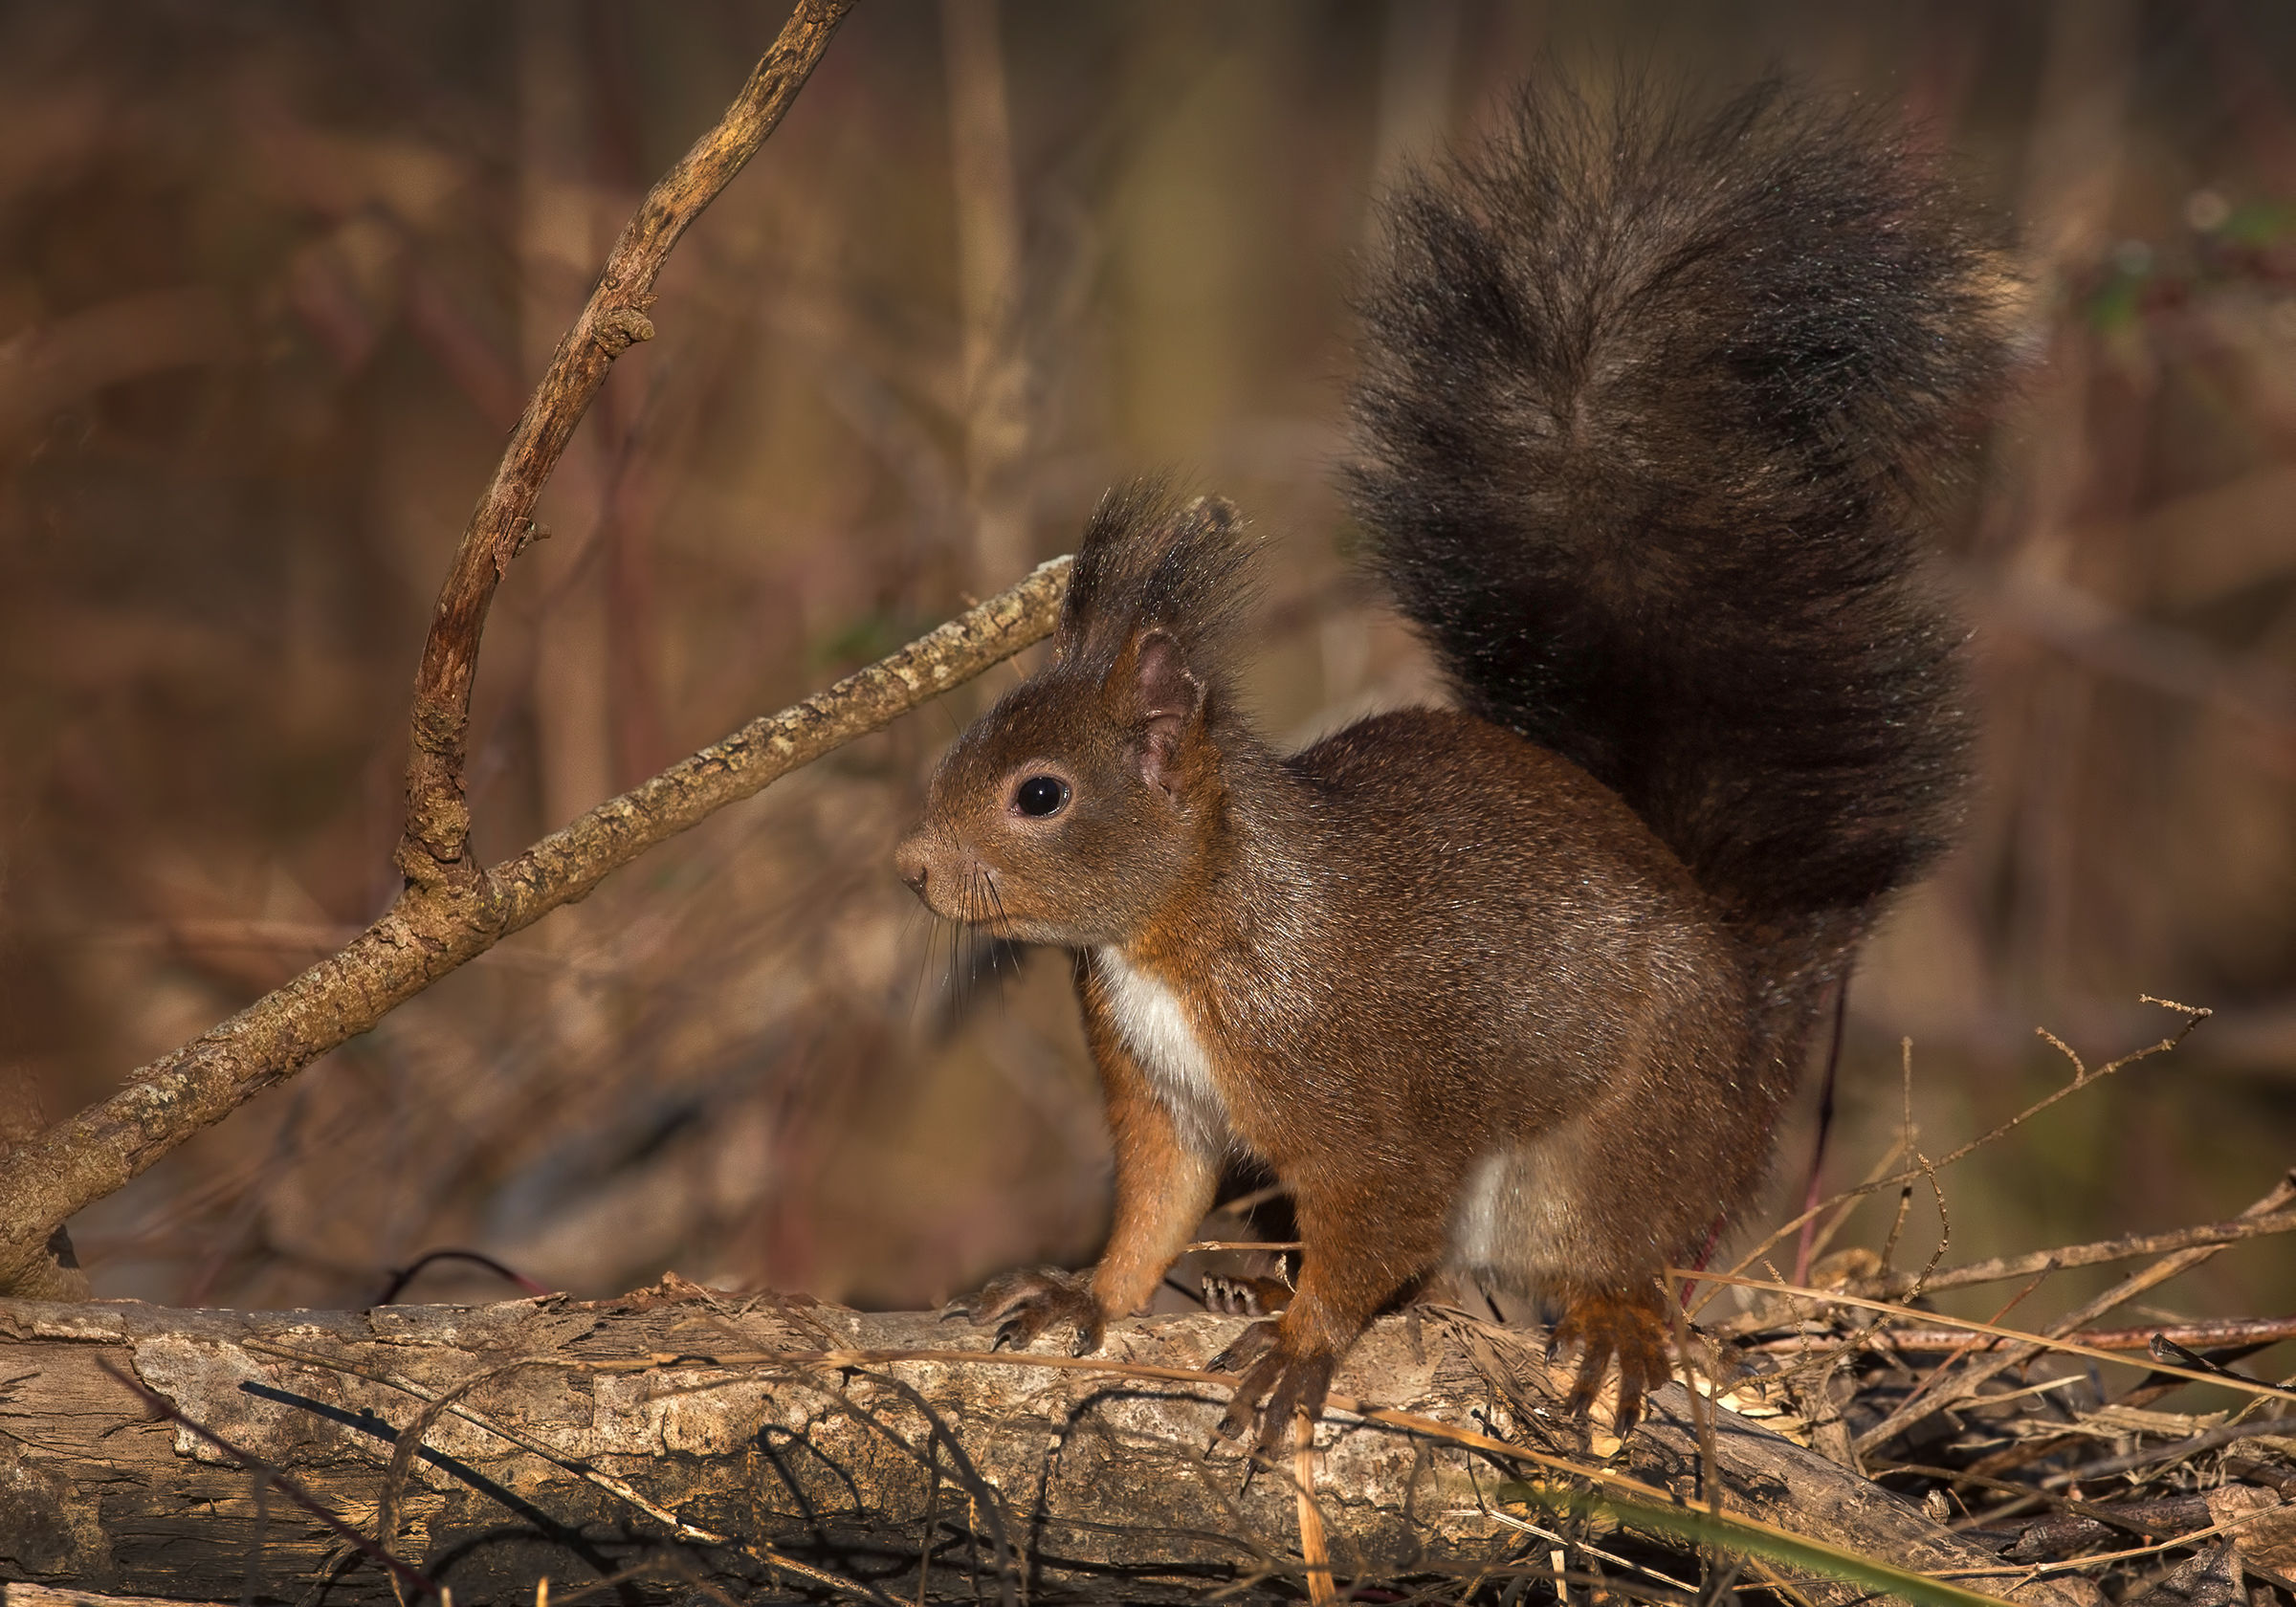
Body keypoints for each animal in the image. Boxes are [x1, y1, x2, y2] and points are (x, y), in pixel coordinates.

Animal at [894, 80, 2011, 1447]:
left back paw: (1607, 1322)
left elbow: (1376, 1220)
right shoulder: (1161, 1097)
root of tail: (1752, 1038)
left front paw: (1299, 1346)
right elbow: (1153, 1211)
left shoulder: (1362, 1096)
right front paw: (1087, 1298)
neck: (1177, 932)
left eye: (1040, 795)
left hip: (1600, 1157)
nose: (913, 868)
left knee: (1614, 1254)